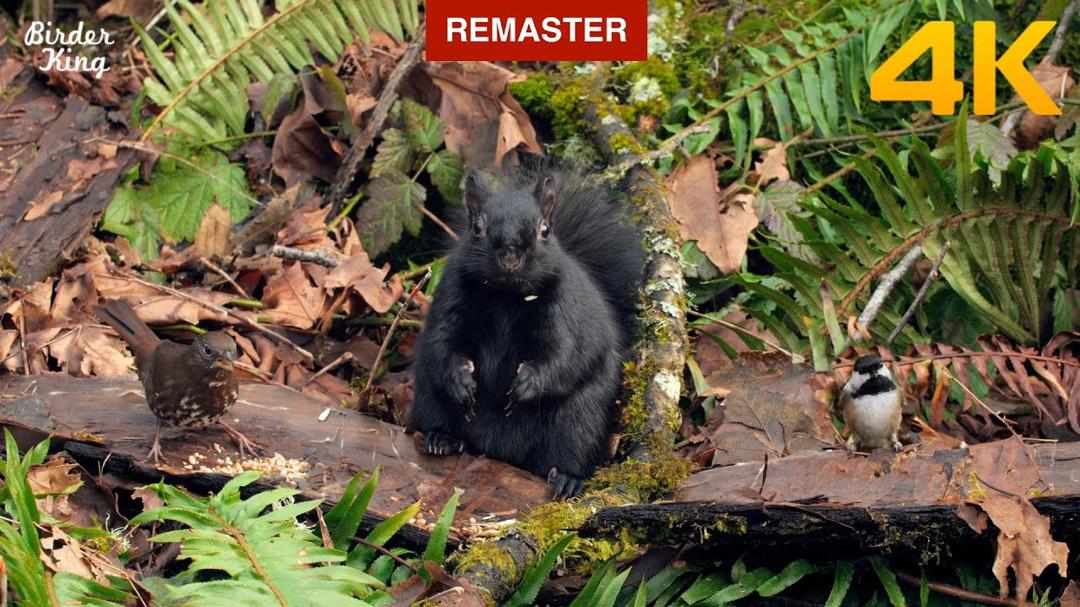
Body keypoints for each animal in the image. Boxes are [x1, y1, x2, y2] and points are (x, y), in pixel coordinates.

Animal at [408, 168, 643, 498]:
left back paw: (567, 479)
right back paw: (442, 438)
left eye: (544, 230)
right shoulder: (451, 300)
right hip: (430, 395)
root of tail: (496, 449)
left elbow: (560, 355)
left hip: (579, 421)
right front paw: (462, 381)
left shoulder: (563, 315)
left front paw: (526, 386)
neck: (506, 297)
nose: (510, 259)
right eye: (476, 228)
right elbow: (444, 343)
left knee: (571, 448)